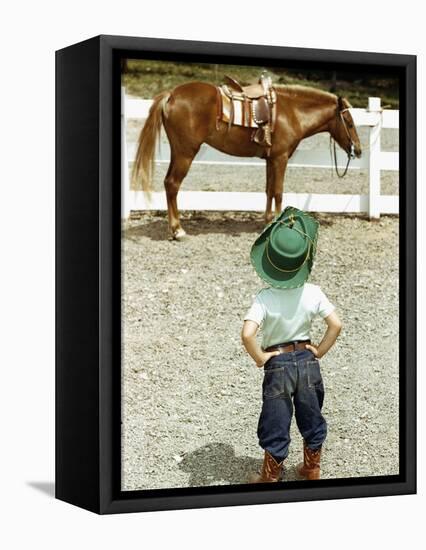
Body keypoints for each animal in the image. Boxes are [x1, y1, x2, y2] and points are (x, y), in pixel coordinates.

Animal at [131, 83, 362, 238]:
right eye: (350, 123)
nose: (358, 150)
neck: (291, 112)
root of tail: (171, 95)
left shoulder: (271, 159)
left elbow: (269, 191)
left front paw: (268, 222)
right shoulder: (280, 158)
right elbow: (278, 192)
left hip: (178, 152)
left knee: (168, 183)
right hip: (185, 153)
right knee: (172, 184)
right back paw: (177, 230)